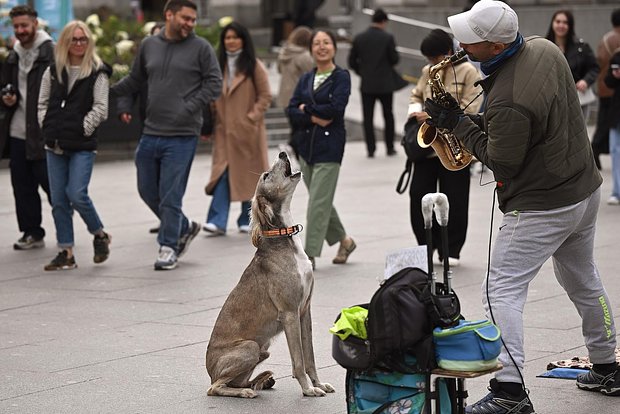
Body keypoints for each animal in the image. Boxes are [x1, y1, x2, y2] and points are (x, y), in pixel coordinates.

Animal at [206, 151, 334, 398]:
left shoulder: (305, 310)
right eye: (266, 175)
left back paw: (260, 382)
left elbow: (310, 357)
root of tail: (208, 370)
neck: (284, 237)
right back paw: (245, 392)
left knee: (235, 381)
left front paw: (318, 383)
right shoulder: (290, 313)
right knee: (215, 388)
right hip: (250, 346)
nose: (283, 153)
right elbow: (298, 361)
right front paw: (308, 389)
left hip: (262, 351)